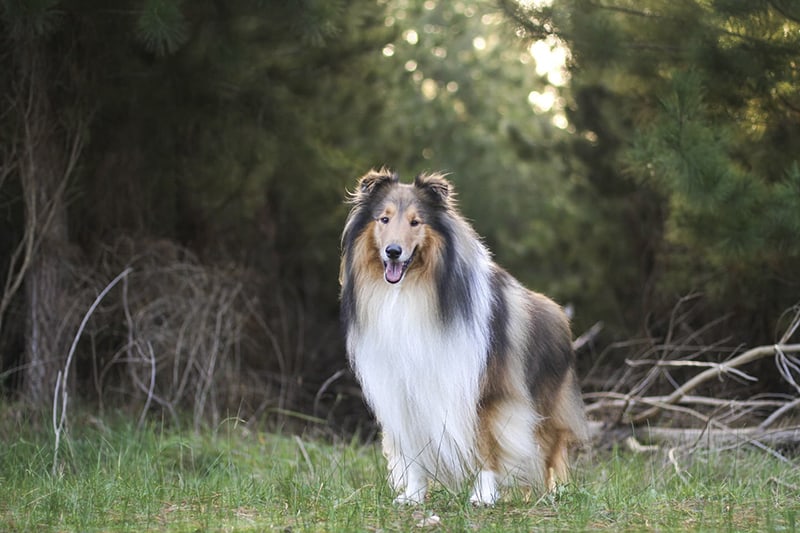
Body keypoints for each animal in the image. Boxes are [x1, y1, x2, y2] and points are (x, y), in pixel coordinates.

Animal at [338, 168, 588, 504]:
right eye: (384, 219)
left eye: (416, 222)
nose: (393, 252)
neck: (412, 292)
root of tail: (561, 315)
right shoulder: (405, 394)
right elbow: (416, 452)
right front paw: (413, 496)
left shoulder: (484, 392)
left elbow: (486, 447)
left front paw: (483, 496)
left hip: (544, 406)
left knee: (546, 452)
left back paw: (543, 496)